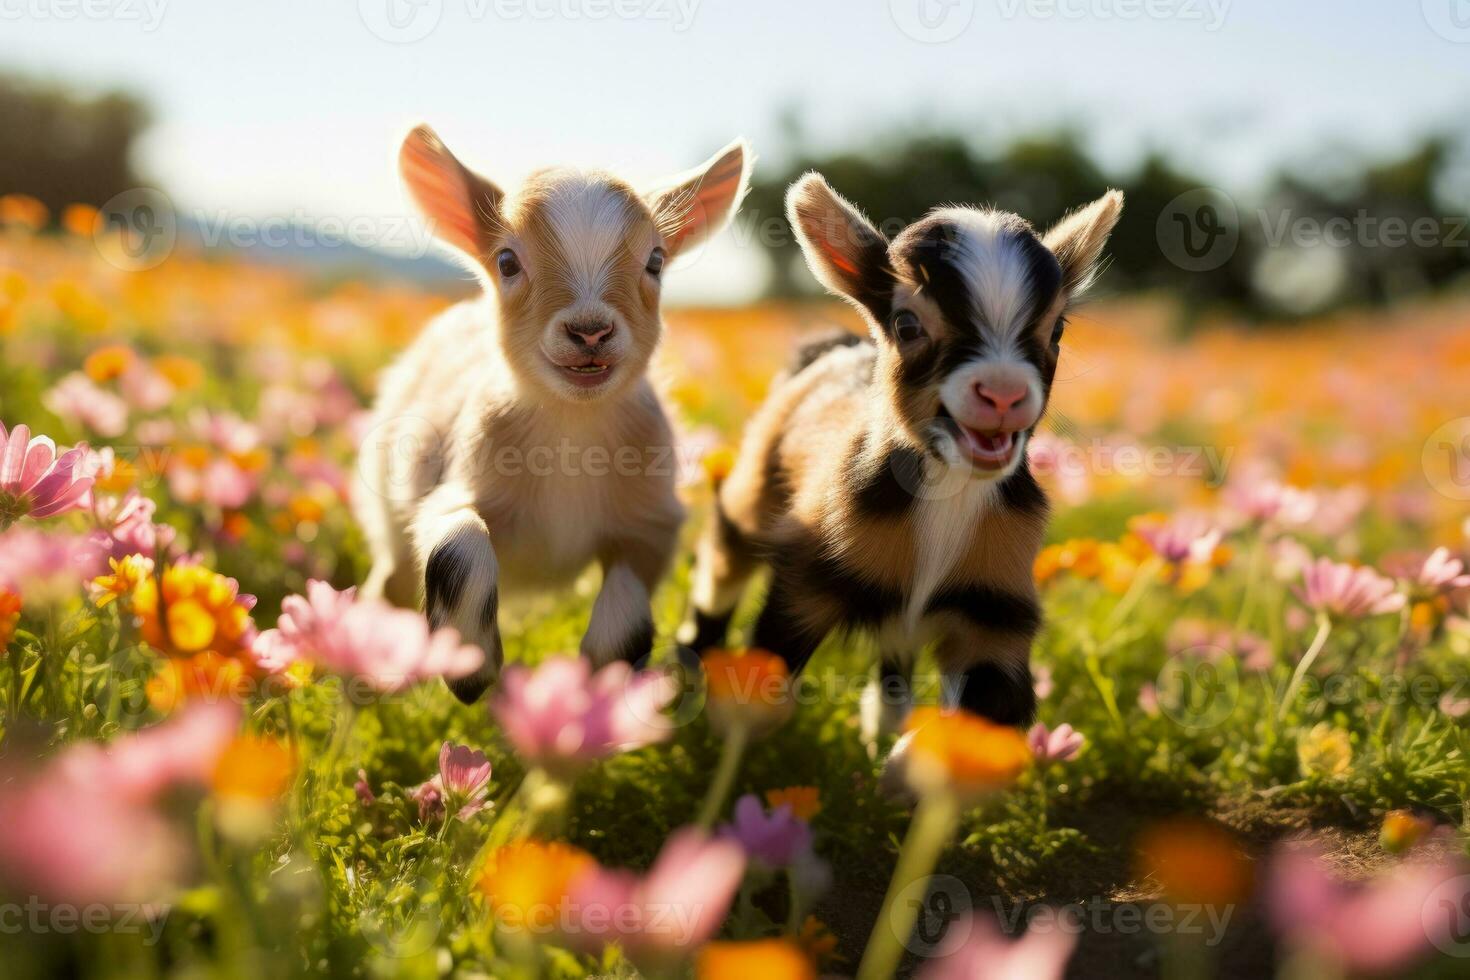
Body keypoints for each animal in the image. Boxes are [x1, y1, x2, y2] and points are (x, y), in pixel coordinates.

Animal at [352, 126, 746, 702]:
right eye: (507, 262)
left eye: (655, 260)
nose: (590, 331)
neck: (571, 426)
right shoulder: (448, 493)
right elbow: (459, 543)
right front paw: (471, 669)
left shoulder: (651, 525)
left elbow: (626, 610)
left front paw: (597, 690)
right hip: (387, 515)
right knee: (389, 583)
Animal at [682, 174, 1117, 743]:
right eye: (907, 325)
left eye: (1057, 330)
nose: (1002, 393)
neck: (952, 488)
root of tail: (837, 347)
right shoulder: (807, 578)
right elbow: (766, 683)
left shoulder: (996, 614)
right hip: (753, 487)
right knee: (722, 566)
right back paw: (684, 672)